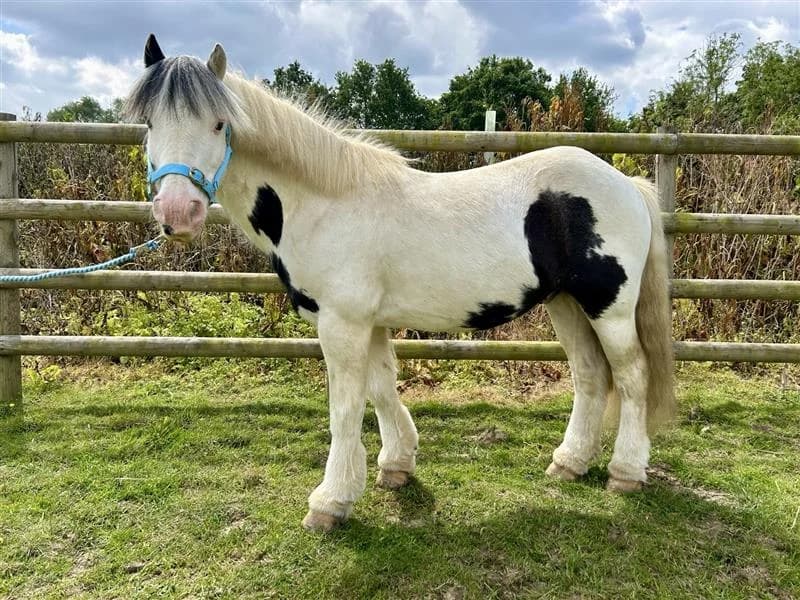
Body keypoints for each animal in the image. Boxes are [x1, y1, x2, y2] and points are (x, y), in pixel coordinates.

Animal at [125, 34, 674, 533]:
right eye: (150, 123)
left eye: (219, 124)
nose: (177, 213)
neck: (325, 202)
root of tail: (627, 184)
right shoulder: (368, 322)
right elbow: (382, 388)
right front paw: (396, 465)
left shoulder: (342, 324)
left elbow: (345, 407)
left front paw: (330, 502)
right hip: (566, 303)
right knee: (590, 375)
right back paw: (569, 463)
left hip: (608, 306)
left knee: (631, 376)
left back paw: (625, 473)